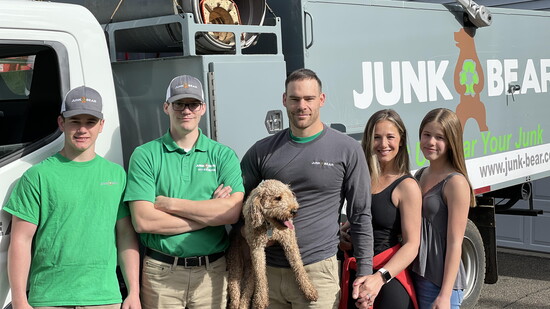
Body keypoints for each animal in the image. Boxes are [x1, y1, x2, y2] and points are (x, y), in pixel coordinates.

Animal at [227, 178, 320, 308]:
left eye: (289, 195)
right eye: (277, 198)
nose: (294, 210)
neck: (270, 226)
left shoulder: (289, 240)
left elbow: (298, 265)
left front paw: (309, 289)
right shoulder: (256, 248)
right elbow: (261, 275)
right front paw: (261, 300)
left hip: (249, 270)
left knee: (246, 292)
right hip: (235, 263)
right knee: (235, 292)